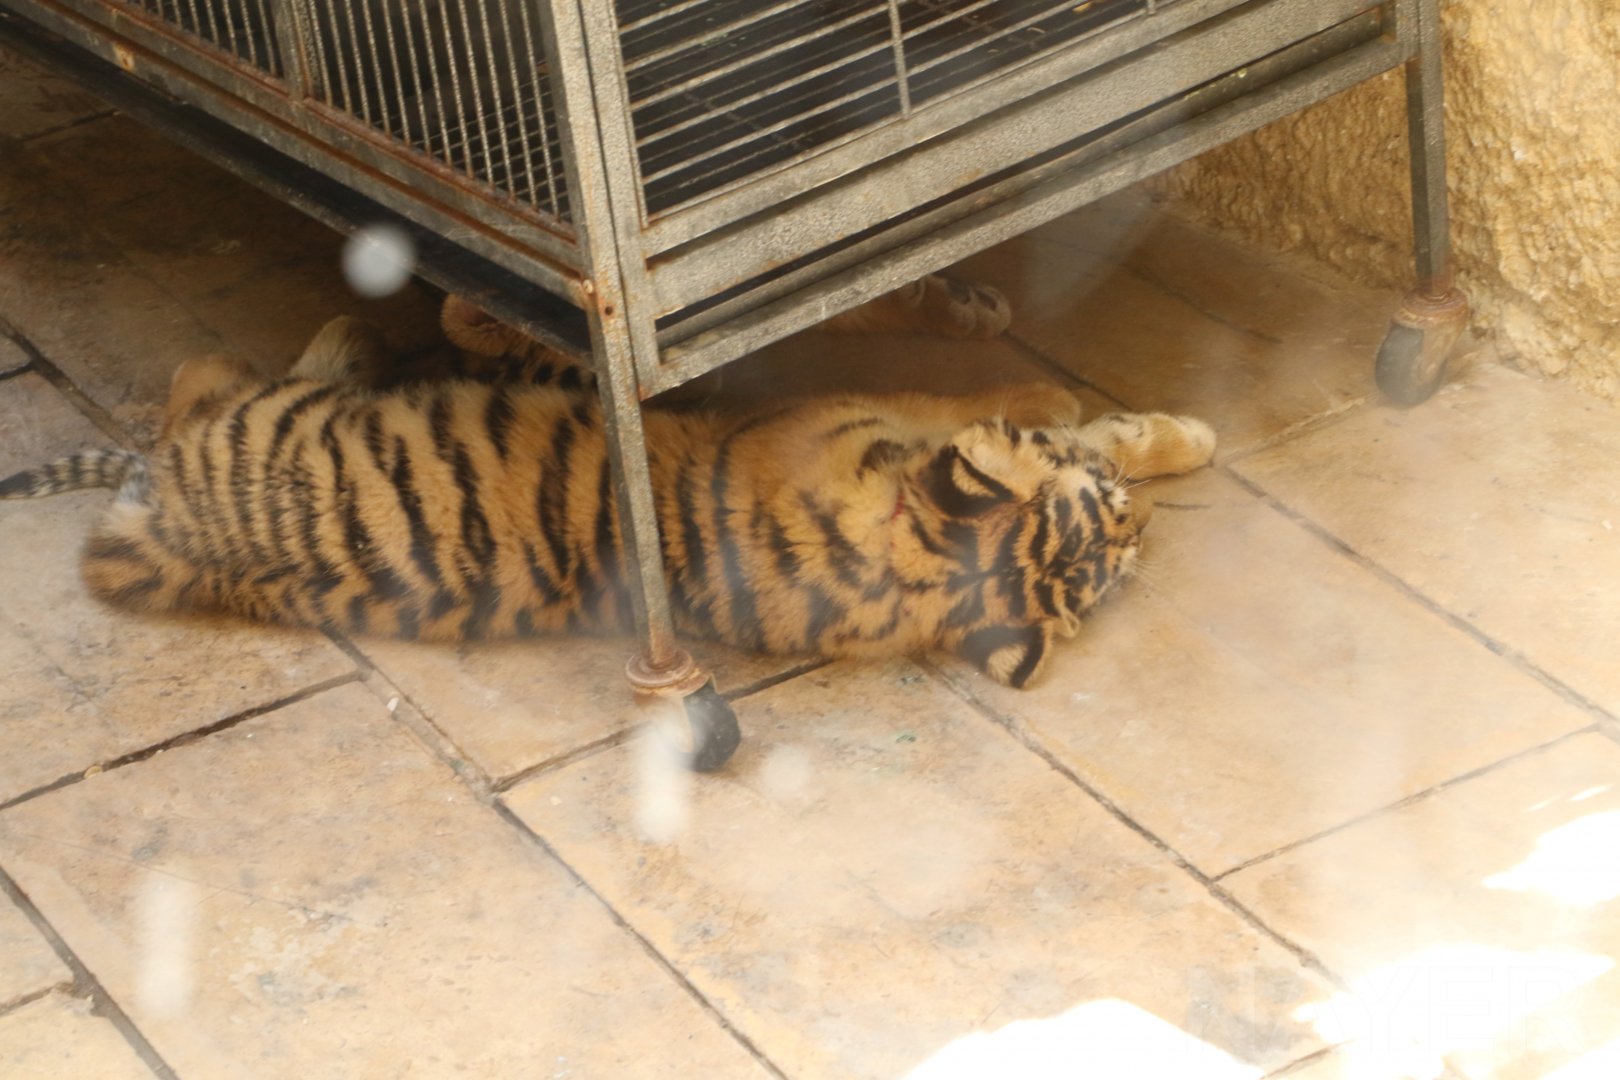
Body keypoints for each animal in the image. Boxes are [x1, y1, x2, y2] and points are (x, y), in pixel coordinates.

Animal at [0, 312, 1213, 688]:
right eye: (1109, 517)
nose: (1149, 529)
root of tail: (155, 542)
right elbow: (1011, 411)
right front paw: (1125, 424)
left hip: (260, 419)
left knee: (201, 379)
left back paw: (364, 333)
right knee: (194, 379)